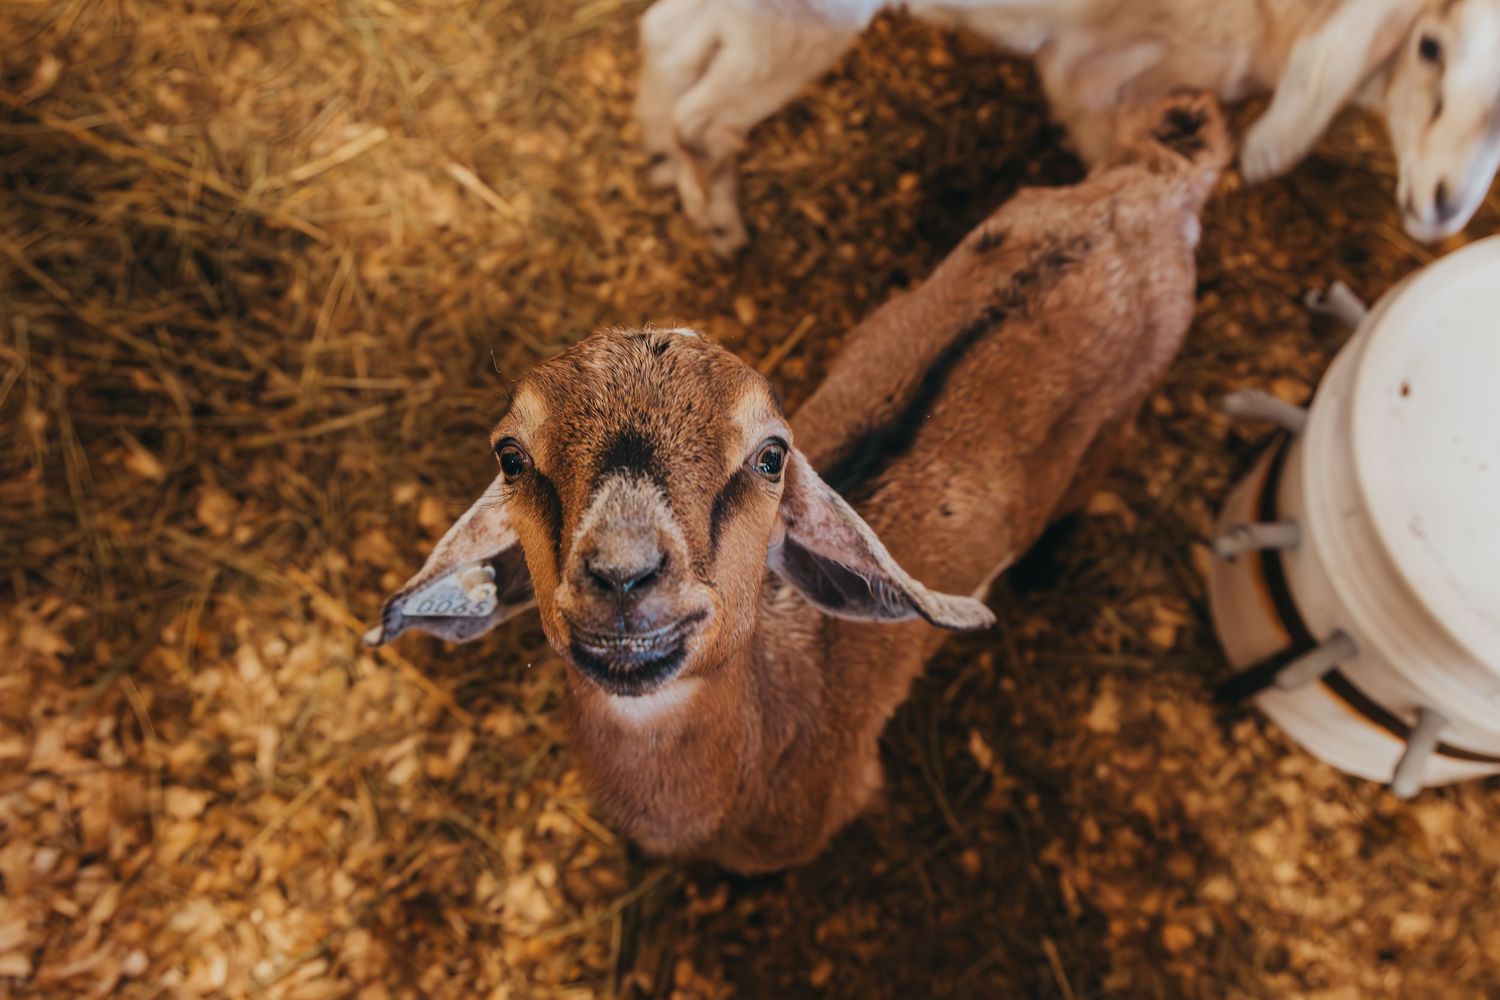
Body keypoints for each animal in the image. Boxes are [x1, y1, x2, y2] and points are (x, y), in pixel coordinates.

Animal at [637, 0, 1500, 255]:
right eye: (1428, 46)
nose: (1445, 207)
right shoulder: (1095, 70)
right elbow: (1114, 164)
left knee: (669, 37)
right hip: (802, 19)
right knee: (703, 116)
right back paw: (721, 225)